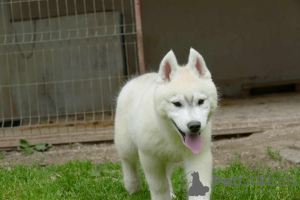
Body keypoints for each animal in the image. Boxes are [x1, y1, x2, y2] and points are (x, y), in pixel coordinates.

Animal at [115, 47, 218, 199]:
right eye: (177, 104)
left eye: (201, 101)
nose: (194, 126)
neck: (171, 135)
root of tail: (140, 77)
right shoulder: (150, 157)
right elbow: (159, 187)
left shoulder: (200, 156)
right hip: (125, 142)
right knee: (127, 161)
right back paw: (132, 185)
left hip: (166, 158)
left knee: (167, 174)